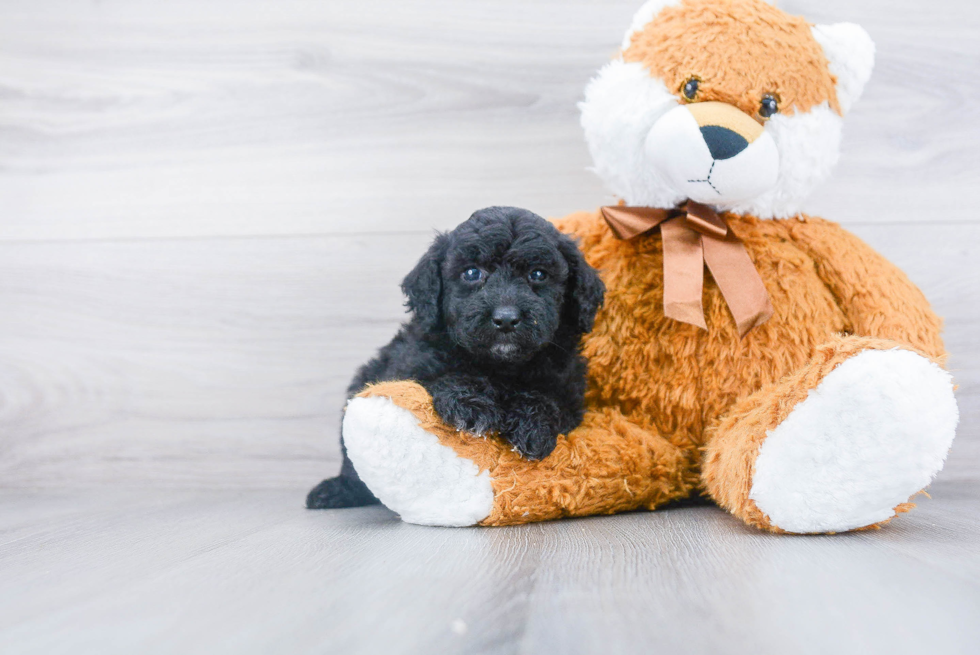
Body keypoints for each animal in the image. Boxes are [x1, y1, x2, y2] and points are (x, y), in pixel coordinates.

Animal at [306, 208, 600, 510]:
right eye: (471, 272)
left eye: (538, 274)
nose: (506, 318)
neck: (500, 366)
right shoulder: (411, 366)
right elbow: (446, 377)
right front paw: (472, 406)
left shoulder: (570, 394)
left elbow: (548, 400)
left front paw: (532, 426)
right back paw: (335, 490)